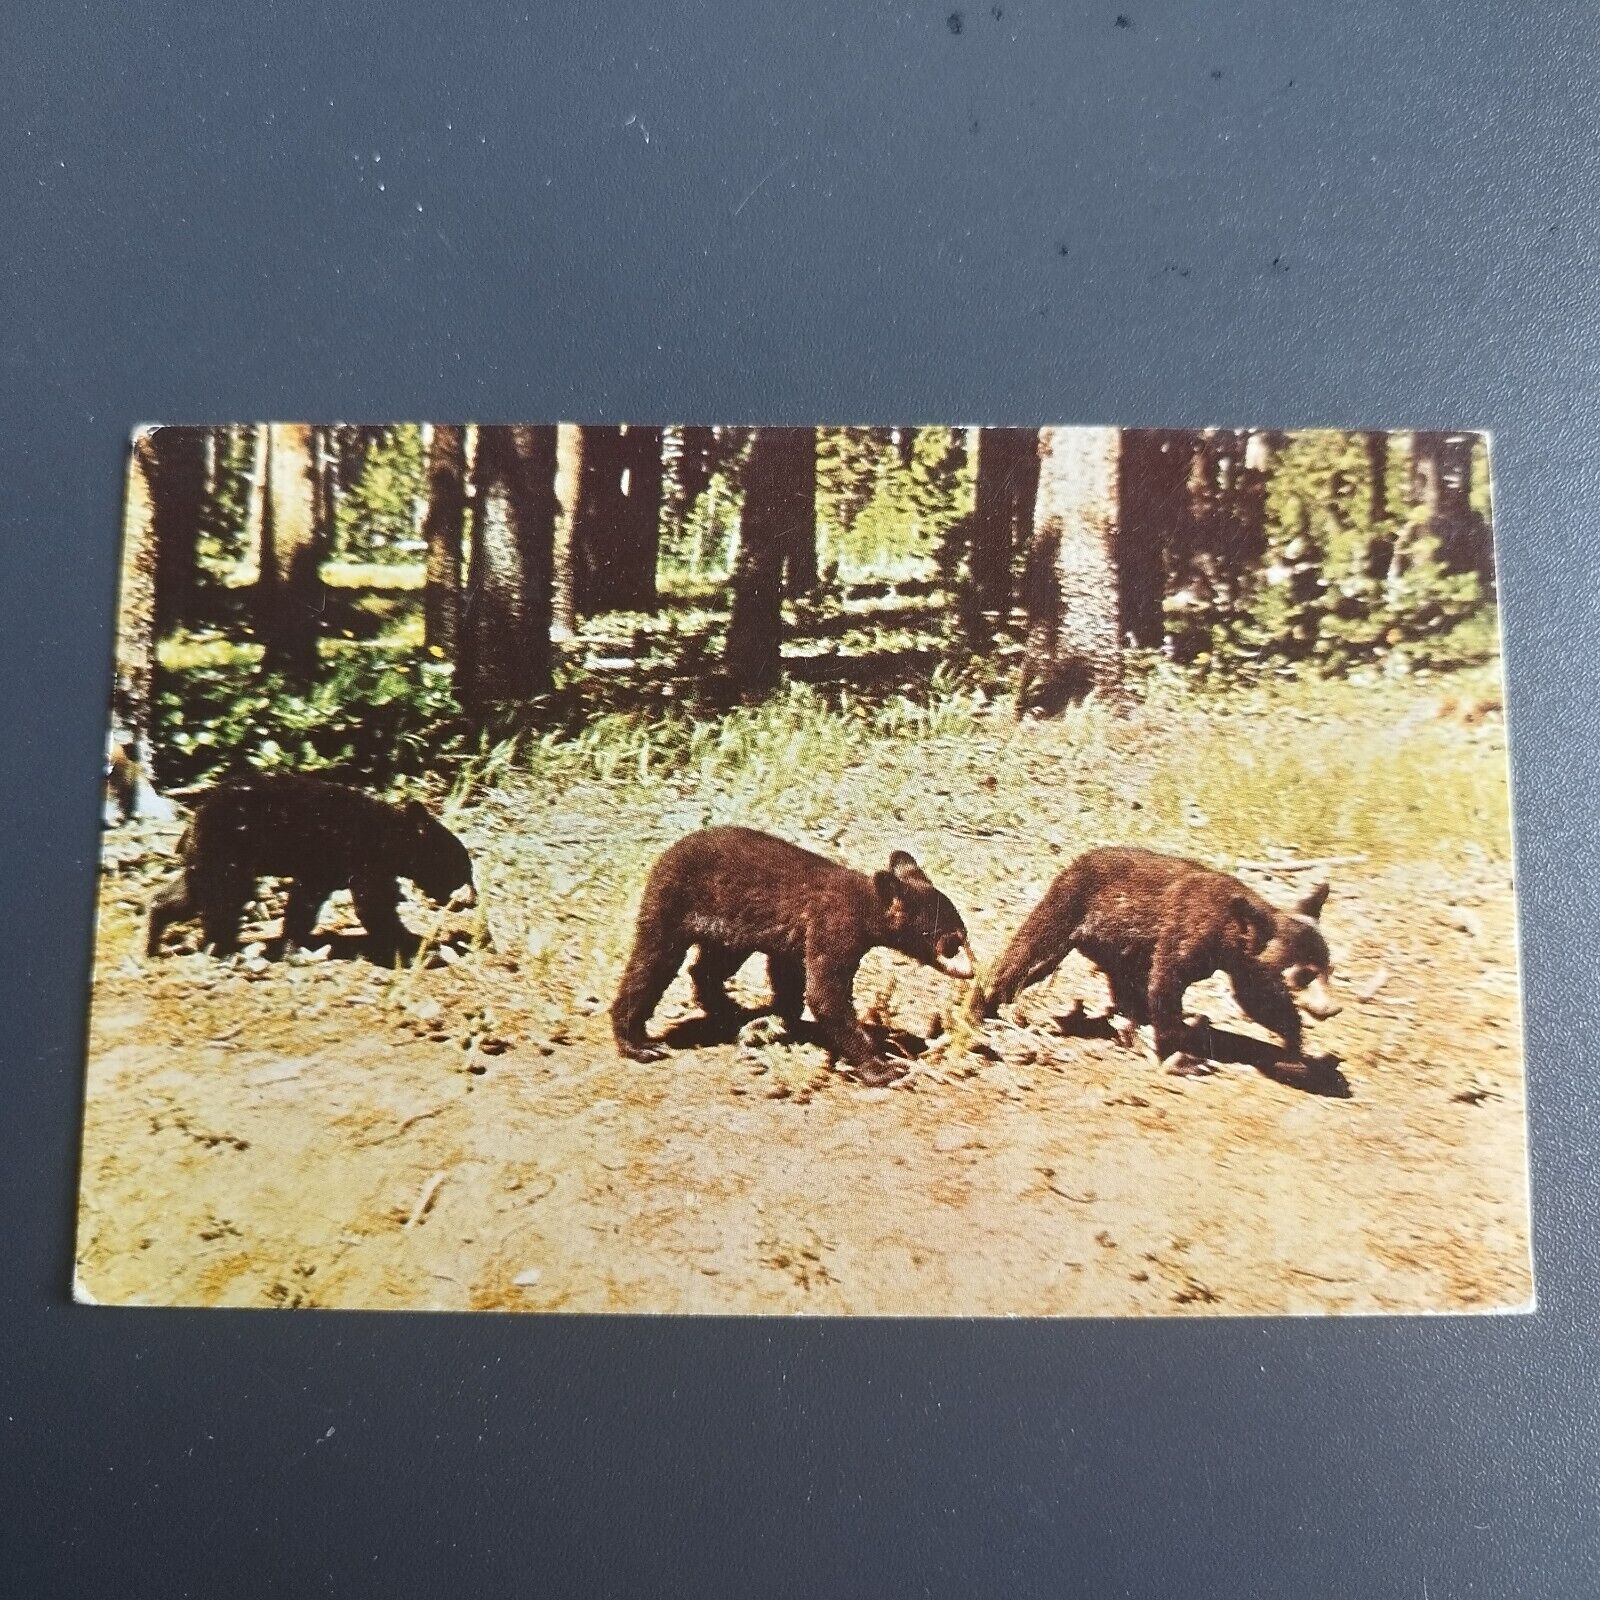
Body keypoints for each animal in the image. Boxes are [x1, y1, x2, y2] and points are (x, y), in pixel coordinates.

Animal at [145, 774, 473, 960]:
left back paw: (153, 940)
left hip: (206, 856)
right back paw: (222, 948)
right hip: (227, 848)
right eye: (463, 869)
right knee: (223, 896)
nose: (470, 898)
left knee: (187, 895)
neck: (392, 837)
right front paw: (411, 943)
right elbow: (373, 905)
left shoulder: (326, 870)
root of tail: (192, 820)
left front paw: (293, 945)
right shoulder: (363, 859)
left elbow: (305, 903)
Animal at [608, 825, 972, 1088]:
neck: (867, 904)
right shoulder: (832, 925)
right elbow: (826, 994)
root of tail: (666, 853)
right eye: (949, 937)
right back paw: (639, 1044)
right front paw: (883, 1067)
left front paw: (783, 1023)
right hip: (673, 907)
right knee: (653, 964)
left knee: (707, 968)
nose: (970, 966)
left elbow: (789, 979)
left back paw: (729, 1010)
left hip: (729, 932)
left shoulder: (793, 940)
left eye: (960, 930)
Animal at [972, 851, 1337, 1075]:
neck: (1230, 931)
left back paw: (1130, 1024)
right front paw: (1181, 1058)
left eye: (1329, 969)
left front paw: (1297, 1050)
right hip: (1070, 904)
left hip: (1117, 943)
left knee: (1123, 980)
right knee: (1030, 954)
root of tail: (1078, 860)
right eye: (1303, 975)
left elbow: (1258, 1000)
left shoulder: (1242, 965)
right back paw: (983, 1005)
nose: (1332, 1009)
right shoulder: (1189, 929)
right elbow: (1166, 982)